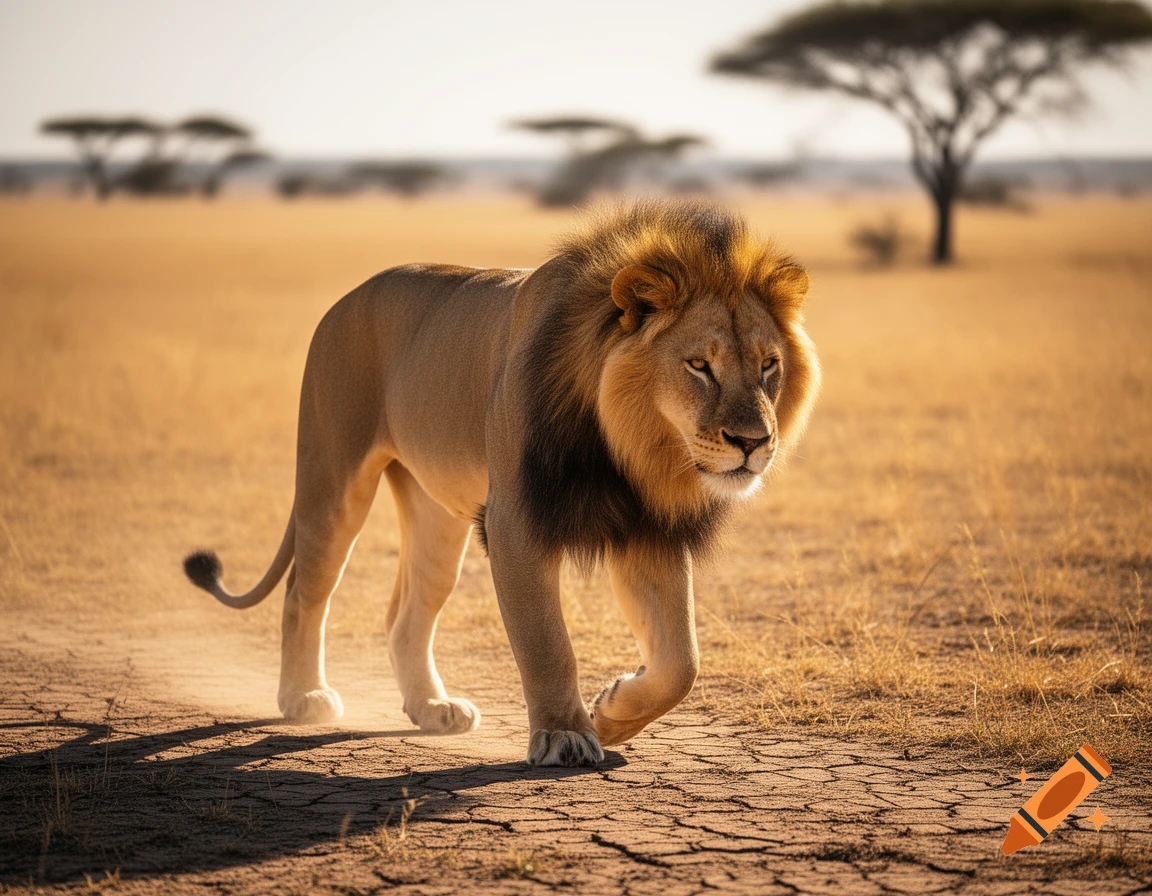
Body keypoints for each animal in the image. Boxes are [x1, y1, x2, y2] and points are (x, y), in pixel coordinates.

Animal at [184, 199, 820, 767]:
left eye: (768, 364)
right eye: (699, 366)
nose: (753, 442)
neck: (629, 448)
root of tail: (345, 298)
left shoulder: (647, 526)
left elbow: (681, 662)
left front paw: (613, 712)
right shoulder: (516, 524)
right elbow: (547, 643)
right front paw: (565, 735)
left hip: (437, 516)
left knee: (406, 614)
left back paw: (433, 708)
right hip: (333, 481)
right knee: (304, 591)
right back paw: (304, 697)